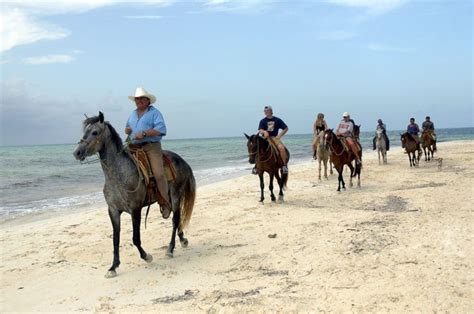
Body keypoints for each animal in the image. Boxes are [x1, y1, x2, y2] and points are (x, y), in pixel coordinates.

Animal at [73, 112, 195, 278]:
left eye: (95, 132)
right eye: (85, 131)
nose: (77, 152)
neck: (119, 175)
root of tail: (182, 161)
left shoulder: (135, 209)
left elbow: (135, 238)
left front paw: (147, 256)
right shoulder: (113, 211)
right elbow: (115, 239)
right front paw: (113, 267)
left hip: (176, 196)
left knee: (175, 219)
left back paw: (170, 249)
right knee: (178, 219)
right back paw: (183, 240)